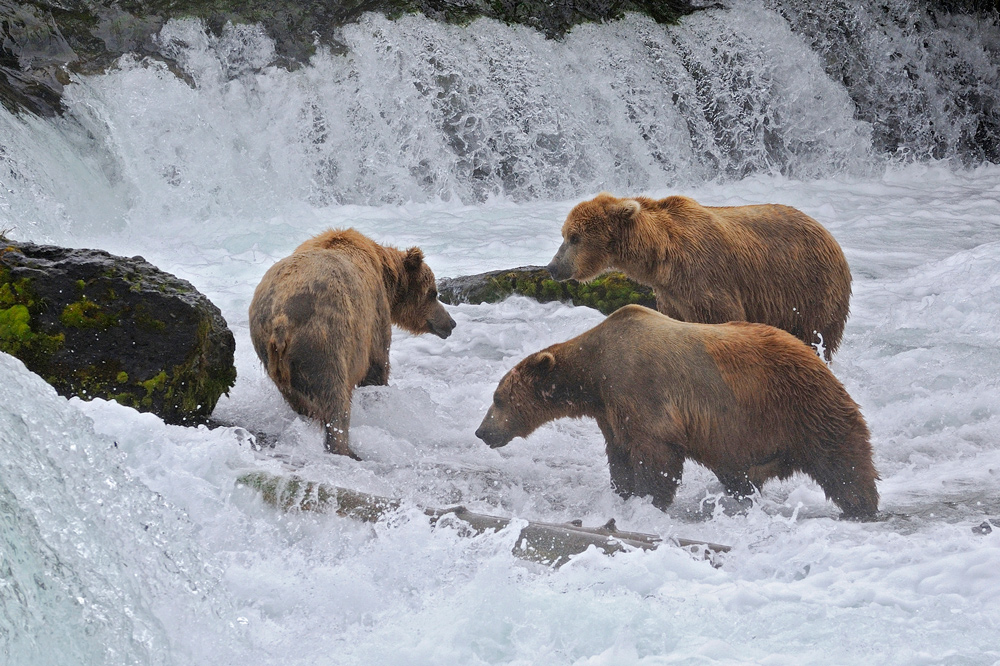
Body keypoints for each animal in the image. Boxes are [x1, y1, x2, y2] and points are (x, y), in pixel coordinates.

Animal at [248, 228, 456, 456]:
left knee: (299, 401)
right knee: (335, 398)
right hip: (325, 342)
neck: (386, 275)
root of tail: (281, 319)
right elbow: (377, 365)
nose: (451, 323)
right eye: (433, 293)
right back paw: (348, 449)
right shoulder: (373, 317)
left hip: (275, 356)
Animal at [476, 304, 876, 520]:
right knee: (740, 476)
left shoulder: (640, 389)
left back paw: (862, 506)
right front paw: (622, 494)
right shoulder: (611, 413)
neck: (594, 374)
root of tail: (816, 358)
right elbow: (619, 454)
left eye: (498, 398)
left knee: (844, 463)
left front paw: (649, 501)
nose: (482, 432)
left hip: (799, 407)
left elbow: (655, 454)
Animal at [548, 192, 852, 358]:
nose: (553, 267)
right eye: (564, 234)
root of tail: (829, 236)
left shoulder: (705, 278)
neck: (662, 257)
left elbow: (722, 318)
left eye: (574, 237)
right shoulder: (672, 296)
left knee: (816, 334)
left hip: (810, 288)